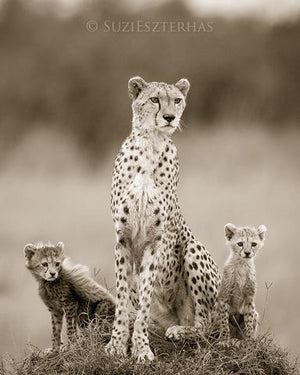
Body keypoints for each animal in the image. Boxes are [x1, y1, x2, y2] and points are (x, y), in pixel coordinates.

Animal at [106, 76, 220, 362]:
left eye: (177, 100)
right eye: (155, 99)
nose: (169, 117)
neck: (151, 145)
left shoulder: (153, 242)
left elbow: (145, 296)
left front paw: (141, 348)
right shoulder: (123, 239)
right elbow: (123, 297)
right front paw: (117, 344)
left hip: (192, 249)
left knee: (206, 325)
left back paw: (180, 332)